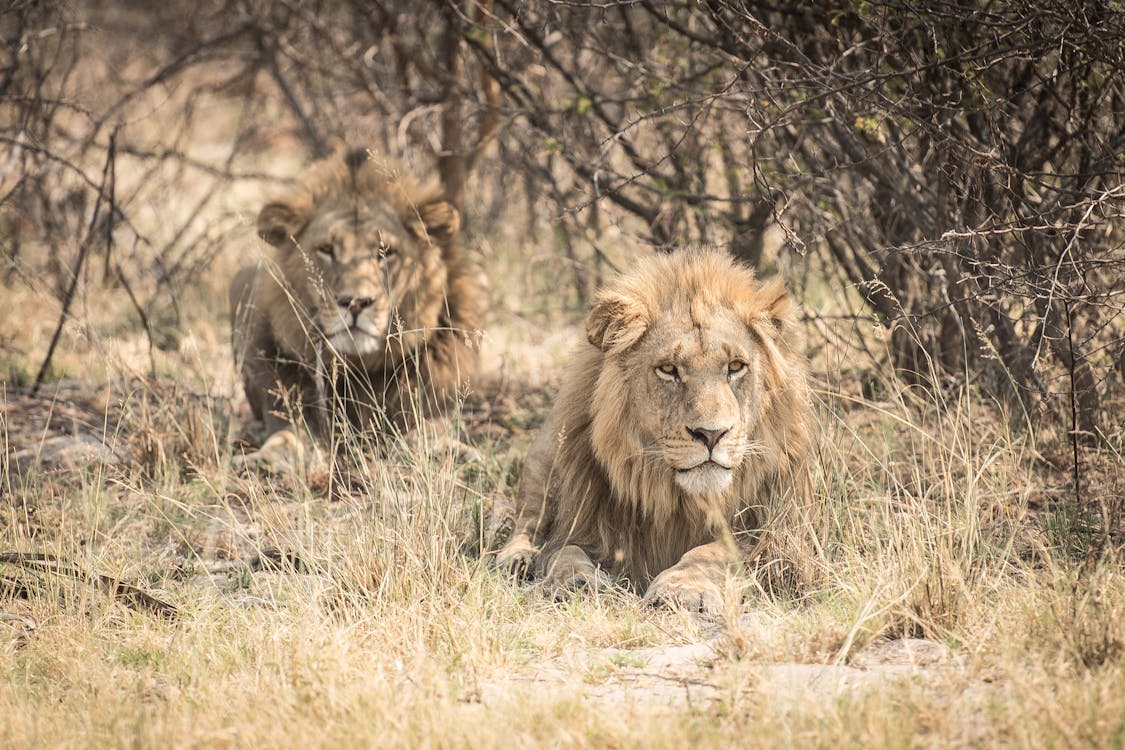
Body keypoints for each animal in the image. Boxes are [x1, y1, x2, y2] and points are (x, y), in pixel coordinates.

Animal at [230, 146, 486, 463]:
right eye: (326, 249)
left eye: (385, 251)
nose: (354, 302)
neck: (359, 368)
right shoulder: (292, 406)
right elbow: (289, 435)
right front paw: (268, 459)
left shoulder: (428, 405)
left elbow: (427, 431)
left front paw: (449, 450)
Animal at [492, 249, 819, 611]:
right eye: (668, 369)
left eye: (735, 367)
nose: (711, 435)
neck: (678, 499)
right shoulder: (581, 528)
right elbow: (564, 551)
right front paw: (574, 581)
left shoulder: (773, 535)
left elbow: (713, 552)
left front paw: (682, 588)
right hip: (545, 455)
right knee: (527, 522)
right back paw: (517, 559)